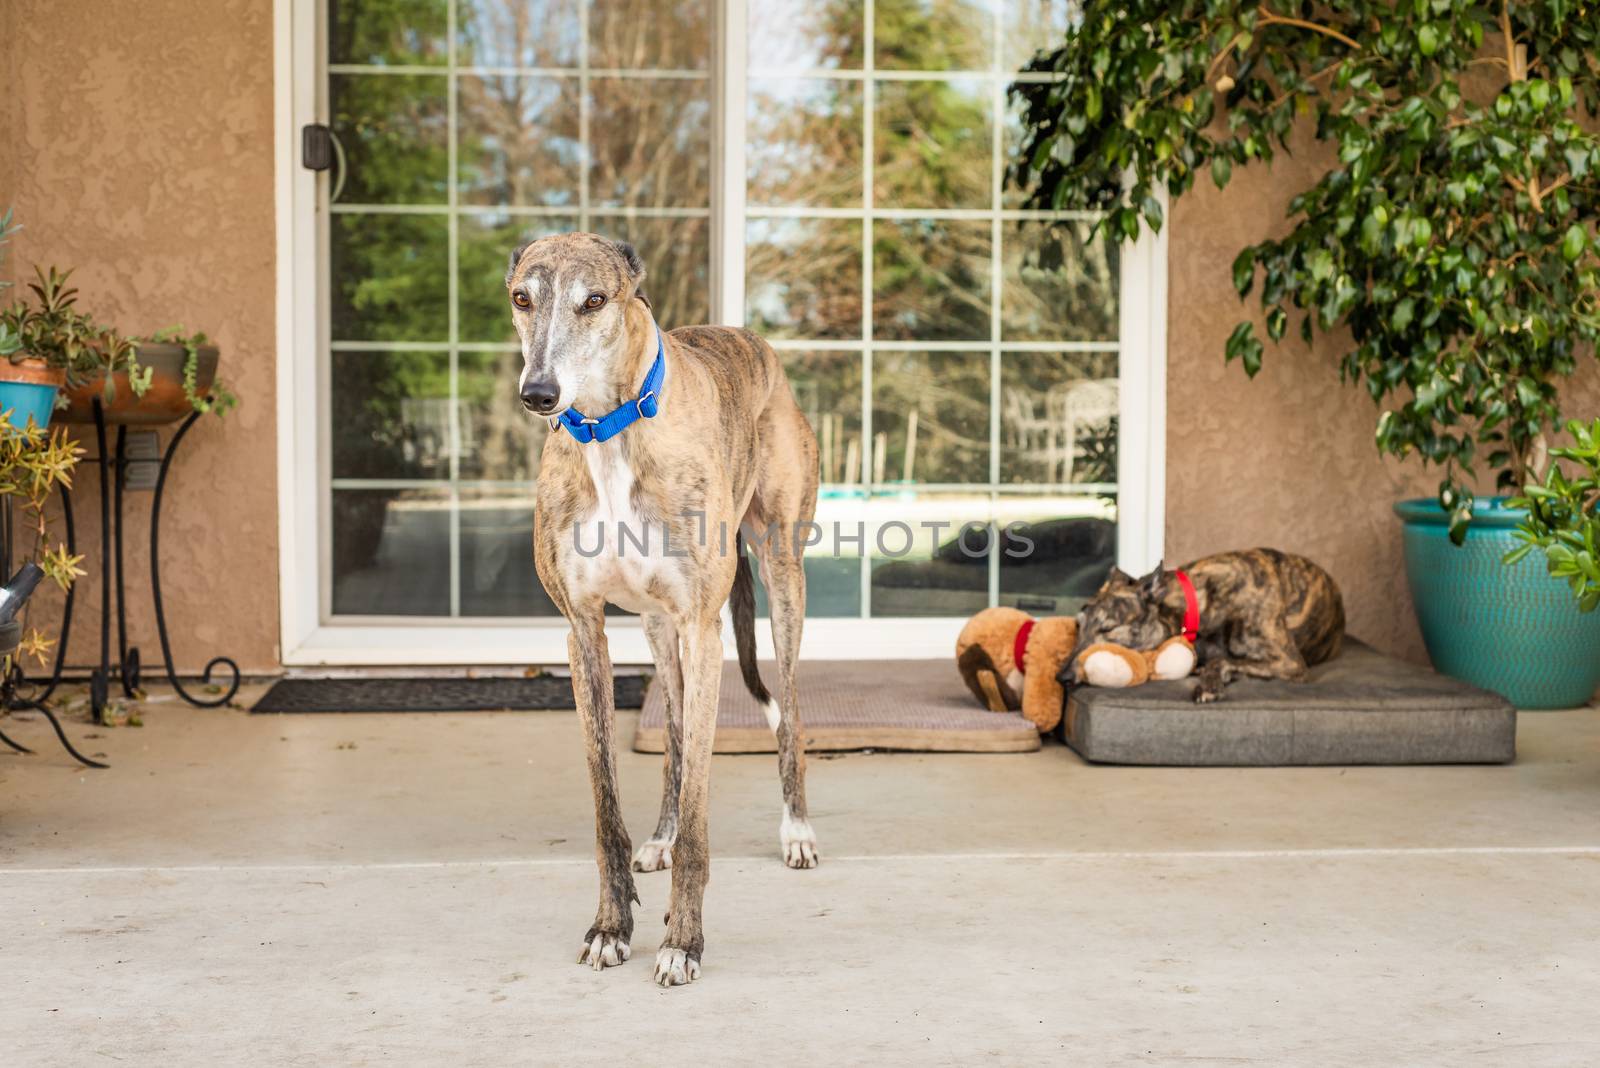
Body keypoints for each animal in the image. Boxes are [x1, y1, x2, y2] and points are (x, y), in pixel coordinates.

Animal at [1068, 546, 1344, 703]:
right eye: (1078, 626)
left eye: (1107, 629)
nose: (1063, 677)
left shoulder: (1291, 663)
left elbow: (1221, 660)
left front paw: (1209, 684)